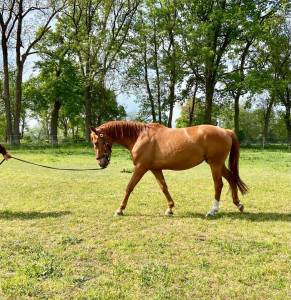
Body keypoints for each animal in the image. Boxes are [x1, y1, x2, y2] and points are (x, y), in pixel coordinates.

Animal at [90, 120, 248, 217]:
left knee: (218, 184)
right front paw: (170, 208)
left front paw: (120, 210)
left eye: (96, 142)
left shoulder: (141, 167)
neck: (140, 136)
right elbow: (164, 187)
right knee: (231, 178)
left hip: (215, 164)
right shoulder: (155, 169)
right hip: (219, 164)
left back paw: (213, 210)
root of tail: (226, 131)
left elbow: (129, 187)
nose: (101, 162)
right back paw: (238, 204)